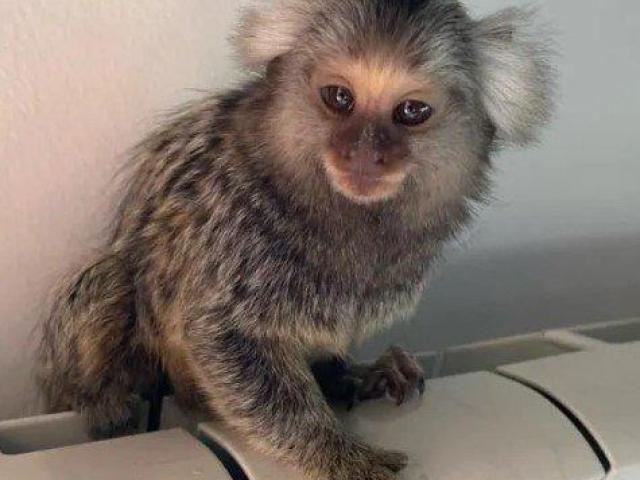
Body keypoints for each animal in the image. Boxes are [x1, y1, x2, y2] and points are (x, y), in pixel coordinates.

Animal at [37, 1, 555, 479]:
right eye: (339, 97)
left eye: (412, 111)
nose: (364, 153)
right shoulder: (233, 232)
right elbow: (223, 339)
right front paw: (340, 454)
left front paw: (355, 375)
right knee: (110, 280)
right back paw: (108, 406)